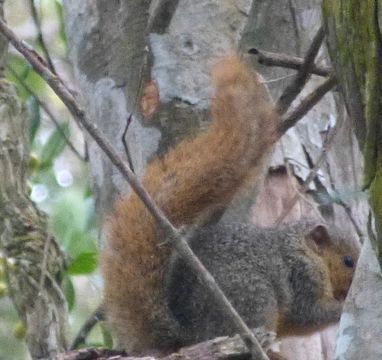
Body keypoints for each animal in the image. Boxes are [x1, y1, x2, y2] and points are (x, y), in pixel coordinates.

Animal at [102, 55, 358, 358]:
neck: (302, 247)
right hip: (253, 296)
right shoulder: (302, 277)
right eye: (348, 261)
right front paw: (339, 308)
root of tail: (188, 335)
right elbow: (308, 314)